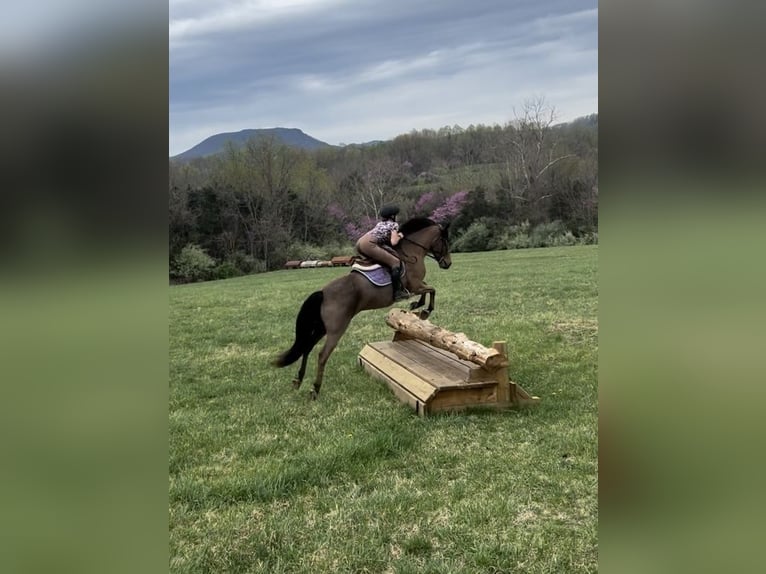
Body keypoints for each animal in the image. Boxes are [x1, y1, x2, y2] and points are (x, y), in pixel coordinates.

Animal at [272, 217, 452, 399]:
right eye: (445, 241)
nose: (448, 264)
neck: (412, 251)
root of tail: (323, 292)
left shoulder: (417, 285)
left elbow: (429, 289)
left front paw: (417, 306)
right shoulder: (415, 286)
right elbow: (432, 289)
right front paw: (424, 310)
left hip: (321, 327)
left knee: (307, 348)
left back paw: (298, 380)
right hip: (337, 329)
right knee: (322, 355)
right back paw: (314, 389)